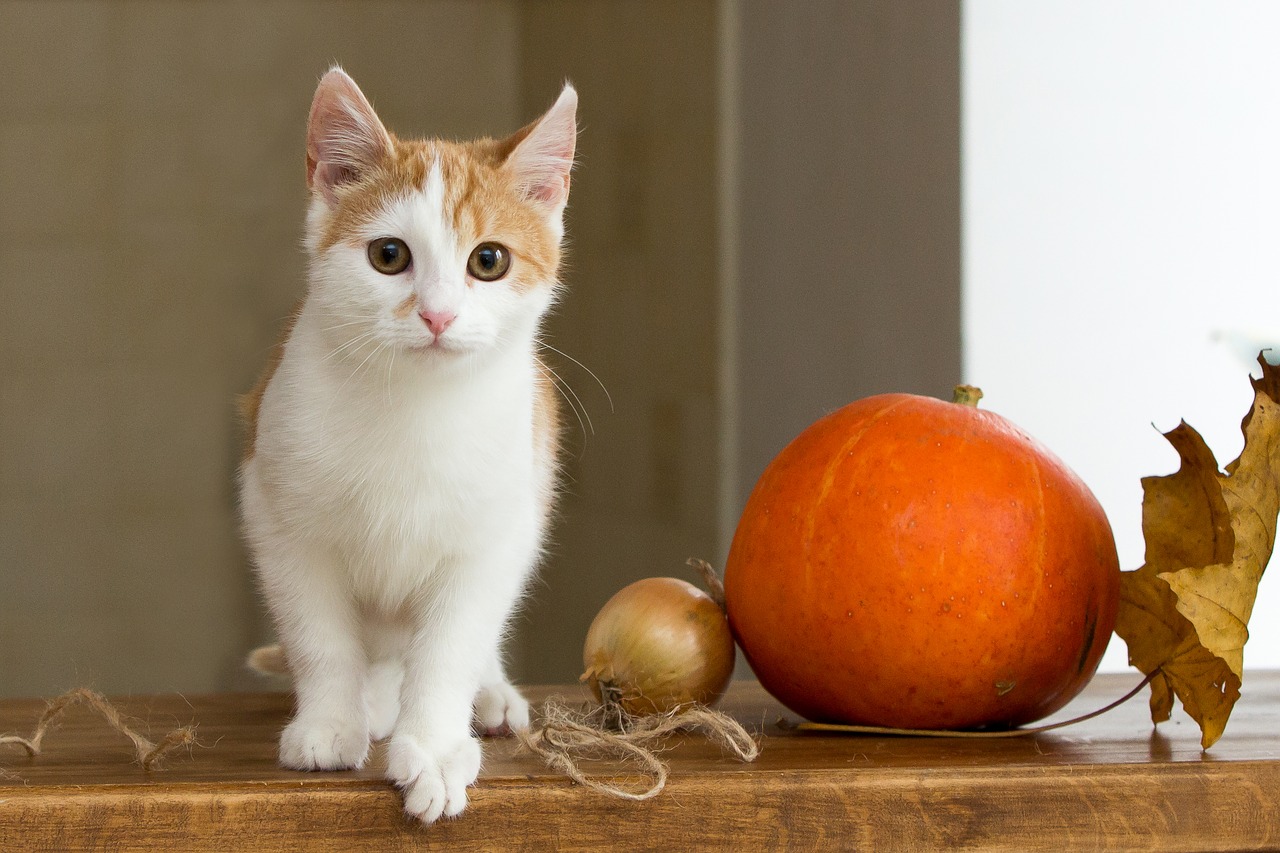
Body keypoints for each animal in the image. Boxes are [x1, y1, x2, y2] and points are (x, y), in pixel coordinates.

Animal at [239, 69, 576, 819]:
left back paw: (486, 692)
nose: (437, 314)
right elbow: (319, 634)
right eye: (388, 256)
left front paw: (436, 748)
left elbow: (451, 645)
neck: (415, 410)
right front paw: (330, 721)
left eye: (489, 260)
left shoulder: (494, 533)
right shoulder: (278, 514)